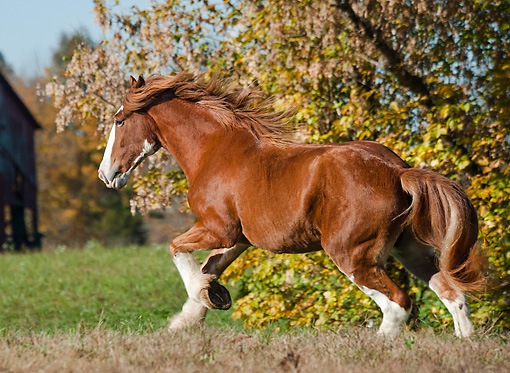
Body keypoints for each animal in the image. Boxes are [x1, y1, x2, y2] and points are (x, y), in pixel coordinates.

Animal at [98, 73, 486, 338]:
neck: (214, 151)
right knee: (452, 294)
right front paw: (191, 316)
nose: (106, 175)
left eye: (119, 120)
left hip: (352, 254)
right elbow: (209, 268)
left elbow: (176, 248)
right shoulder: (238, 239)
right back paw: (465, 341)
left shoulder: (218, 229)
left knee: (398, 306)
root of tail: (397, 170)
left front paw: (207, 299)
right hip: (408, 249)